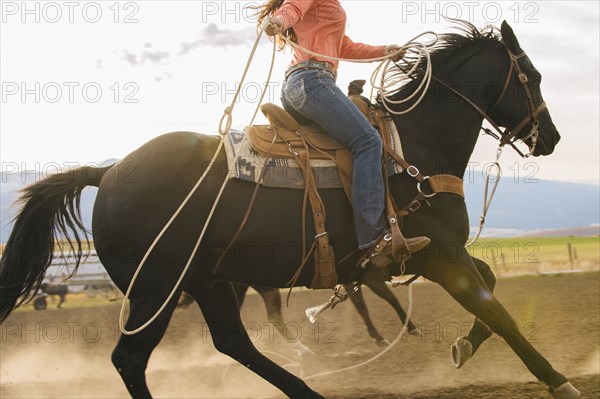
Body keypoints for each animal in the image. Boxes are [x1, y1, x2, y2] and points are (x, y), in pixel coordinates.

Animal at [1, 22, 580, 399]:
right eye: (532, 74)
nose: (550, 137)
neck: (412, 145)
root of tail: (110, 172)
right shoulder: (438, 255)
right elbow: (500, 312)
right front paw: (558, 380)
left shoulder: (429, 257)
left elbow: (490, 289)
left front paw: (462, 345)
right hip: (156, 287)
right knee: (130, 358)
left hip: (208, 280)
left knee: (232, 342)